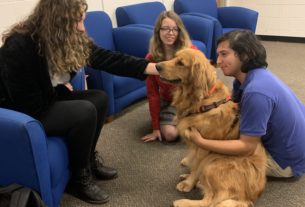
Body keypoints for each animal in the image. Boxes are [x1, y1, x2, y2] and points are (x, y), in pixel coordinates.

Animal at [156, 49, 264, 207]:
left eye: (180, 63)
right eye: (174, 57)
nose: (157, 66)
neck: (203, 101)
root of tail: (248, 198)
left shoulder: (203, 146)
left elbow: (196, 166)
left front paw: (188, 183)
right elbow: (193, 160)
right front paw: (188, 170)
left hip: (212, 162)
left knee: (210, 201)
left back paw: (183, 201)